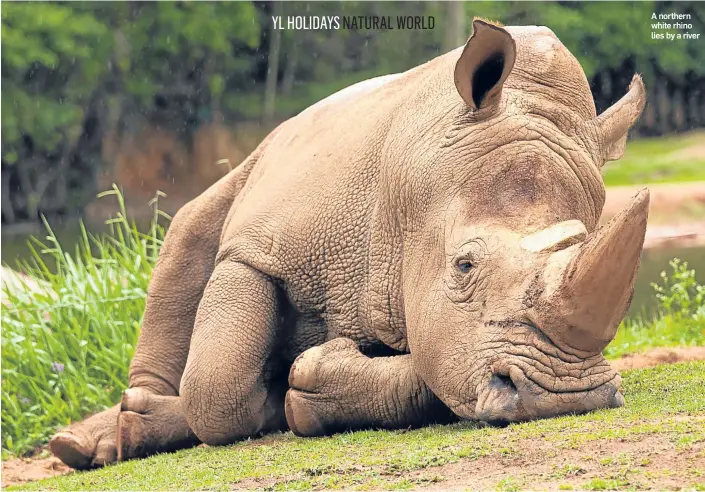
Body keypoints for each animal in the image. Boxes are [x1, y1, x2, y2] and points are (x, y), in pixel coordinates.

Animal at [51, 20, 648, 468]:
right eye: (464, 265)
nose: (564, 393)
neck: (411, 194)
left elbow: (437, 361)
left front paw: (307, 385)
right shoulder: (258, 249)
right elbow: (215, 386)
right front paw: (274, 393)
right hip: (255, 165)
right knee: (187, 234)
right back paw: (107, 435)